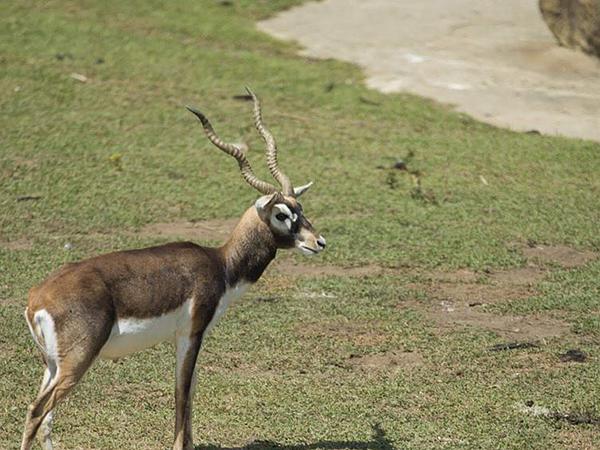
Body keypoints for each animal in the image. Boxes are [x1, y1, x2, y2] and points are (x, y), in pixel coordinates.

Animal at [21, 89, 326, 450]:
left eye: (300, 208)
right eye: (281, 214)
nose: (318, 242)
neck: (221, 264)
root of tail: (37, 299)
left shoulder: (194, 336)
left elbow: (190, 394)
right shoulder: (190, 333)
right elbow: (182, 395)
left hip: (52, 364)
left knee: (45, 417)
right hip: (77, 360)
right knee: (37, 411)